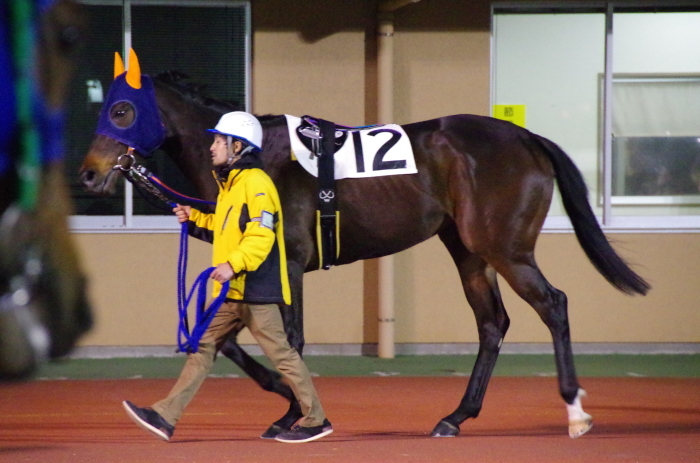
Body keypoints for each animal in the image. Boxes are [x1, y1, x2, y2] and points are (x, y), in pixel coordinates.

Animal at [80, 57, 652, 438]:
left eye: (123, 110)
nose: (88, 173)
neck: (256, 157)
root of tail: (528, 138)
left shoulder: (288, 262)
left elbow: (288, 338)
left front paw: (295, 409)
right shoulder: (263, 270)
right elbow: (225, 339)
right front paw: (285, 395)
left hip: (505, 248)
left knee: (553, 304)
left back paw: (574, 411)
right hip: (469, 251)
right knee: (493, 324)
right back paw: (455, 416)